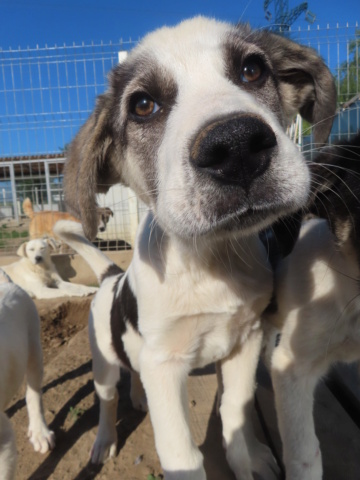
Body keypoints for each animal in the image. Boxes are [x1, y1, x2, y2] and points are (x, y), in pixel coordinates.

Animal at [62, 17, 338, 480]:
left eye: (252, 70)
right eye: (142, 105)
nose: (237, 146)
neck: (211, 262)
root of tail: (112, 277)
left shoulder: (245, 341)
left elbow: (234, 408)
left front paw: (247, 459)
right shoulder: (163, 364)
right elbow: (182, 455)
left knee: (133, 378)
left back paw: (138, 397)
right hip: (102, 360)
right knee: (107, 400)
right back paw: (104, 439)